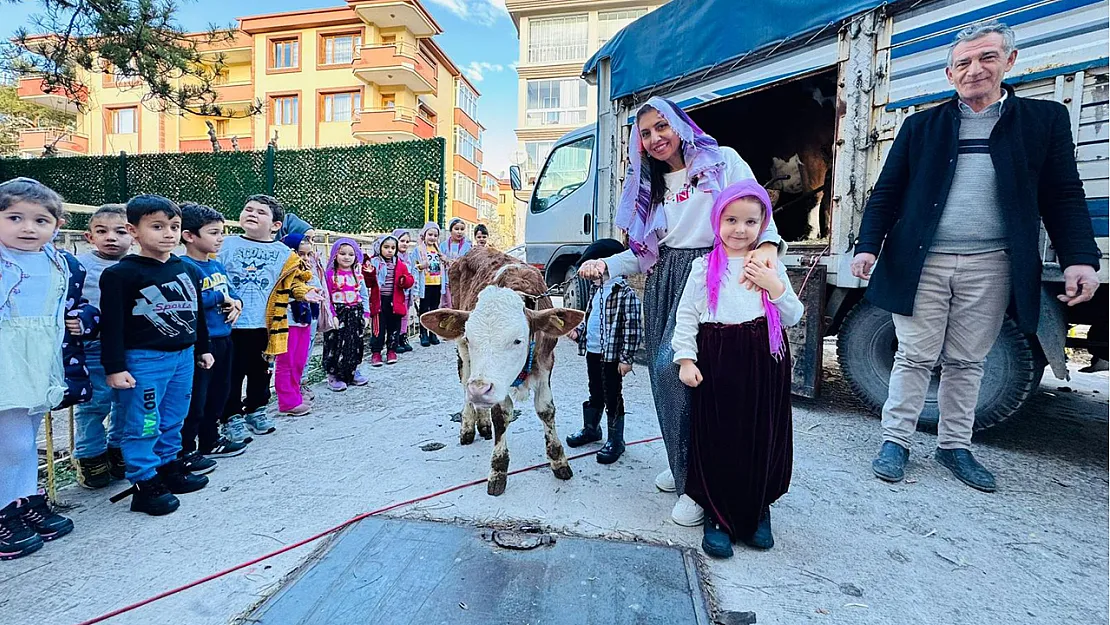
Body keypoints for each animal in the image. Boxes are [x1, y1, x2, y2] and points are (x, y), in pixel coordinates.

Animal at [419, 247, 586, 497]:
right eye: (471, 337)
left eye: (517, 340)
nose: (478, 391)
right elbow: (501, 416)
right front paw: (498, 470)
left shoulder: (546, 361)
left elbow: (546, 410)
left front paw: (558, 461)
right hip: (464, 355)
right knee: (464, 378)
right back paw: (468, 425)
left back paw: (482, 423)